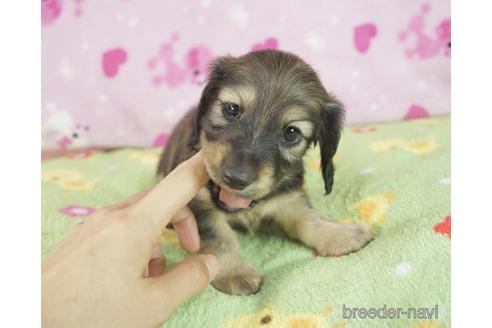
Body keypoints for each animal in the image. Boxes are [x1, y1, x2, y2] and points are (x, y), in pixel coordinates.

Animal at [158, 50, 372, 296]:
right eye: (232, 109)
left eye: (291, 133)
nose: (236, 178)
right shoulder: (199, 203)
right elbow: (218, 236)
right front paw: (234, 271)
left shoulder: (289, 197)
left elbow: (308, 217)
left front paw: (339, 233)